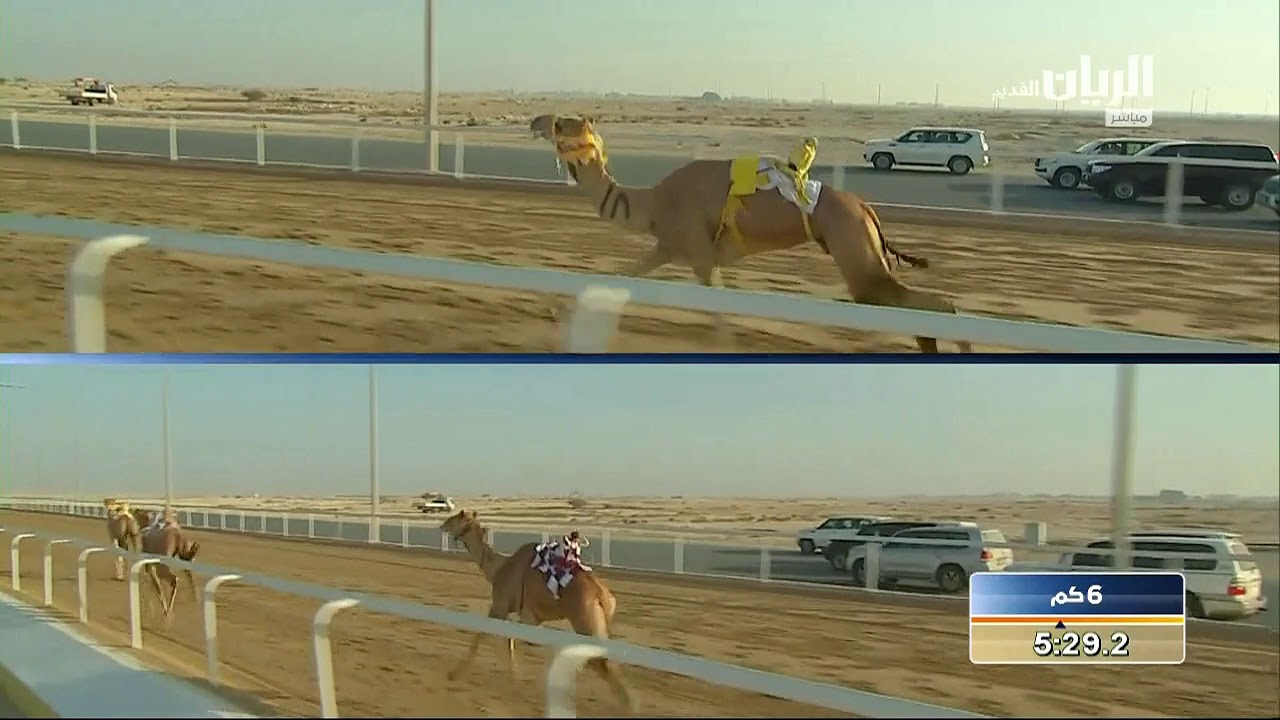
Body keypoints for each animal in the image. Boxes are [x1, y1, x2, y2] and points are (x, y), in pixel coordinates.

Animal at [440, 510, 632, 712]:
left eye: (456, 517)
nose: (442, 525)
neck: (498, 569)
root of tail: (603, 596)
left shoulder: (500, 607)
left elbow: (482, 635)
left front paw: (454, 673)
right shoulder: (529, 618)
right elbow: (511, 640)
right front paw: (515, 677)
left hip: (587, 624)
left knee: (603, 663)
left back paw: (629, 706)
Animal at [529, 114, 973, 353]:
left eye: (562, 122)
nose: (535, 121)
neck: (653, 203)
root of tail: (866, 208)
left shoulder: (699, 255)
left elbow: (720, 316)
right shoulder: (669, 248)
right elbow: (619, 276)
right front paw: (555, 311)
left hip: (857, 257)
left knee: (929, 304)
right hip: (863, 254)